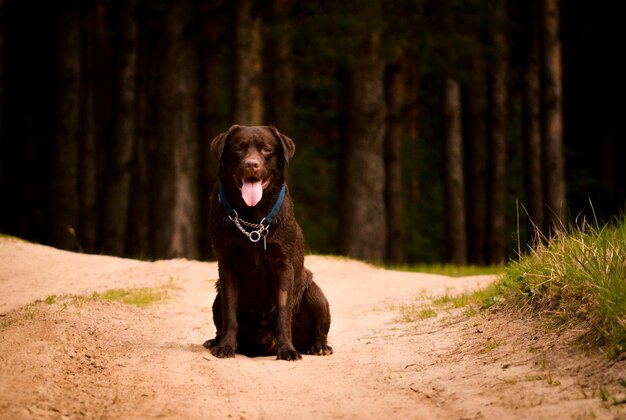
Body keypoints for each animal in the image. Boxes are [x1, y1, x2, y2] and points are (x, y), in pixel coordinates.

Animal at [205, 124, 332, 360]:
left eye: (266, 149)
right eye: (239, 148)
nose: (251, 164)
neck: (252, 216)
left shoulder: (283, 265)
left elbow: (283, 312)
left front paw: (287, 350)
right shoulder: (227, 265)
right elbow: (230, 313)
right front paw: (225, 346)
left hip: (315, 293)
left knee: (319, 328)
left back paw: (319, 346)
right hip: (216, 295)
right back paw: (214, 341)